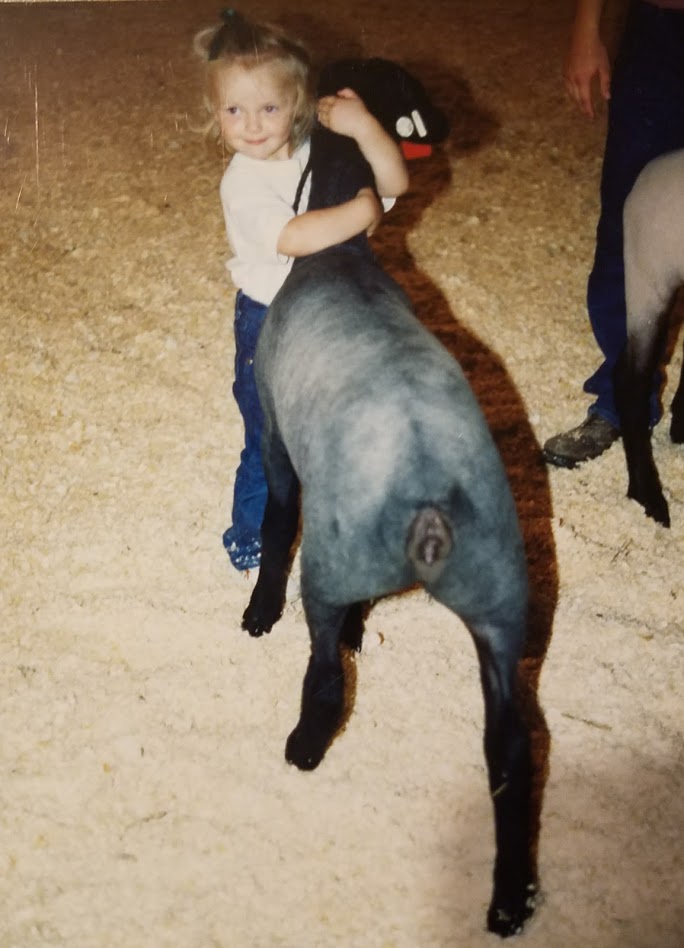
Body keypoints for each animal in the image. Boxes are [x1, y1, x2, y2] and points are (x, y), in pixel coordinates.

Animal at [240, 122, 537, 936]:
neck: (339, 255)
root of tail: (431, 504)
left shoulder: (277, 441)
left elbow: (276, 519)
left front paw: (258, 611)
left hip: (330, 562)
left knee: (325, 679)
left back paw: (303, 747)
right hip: (501, 603)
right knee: (512, 751)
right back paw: (510, 901)